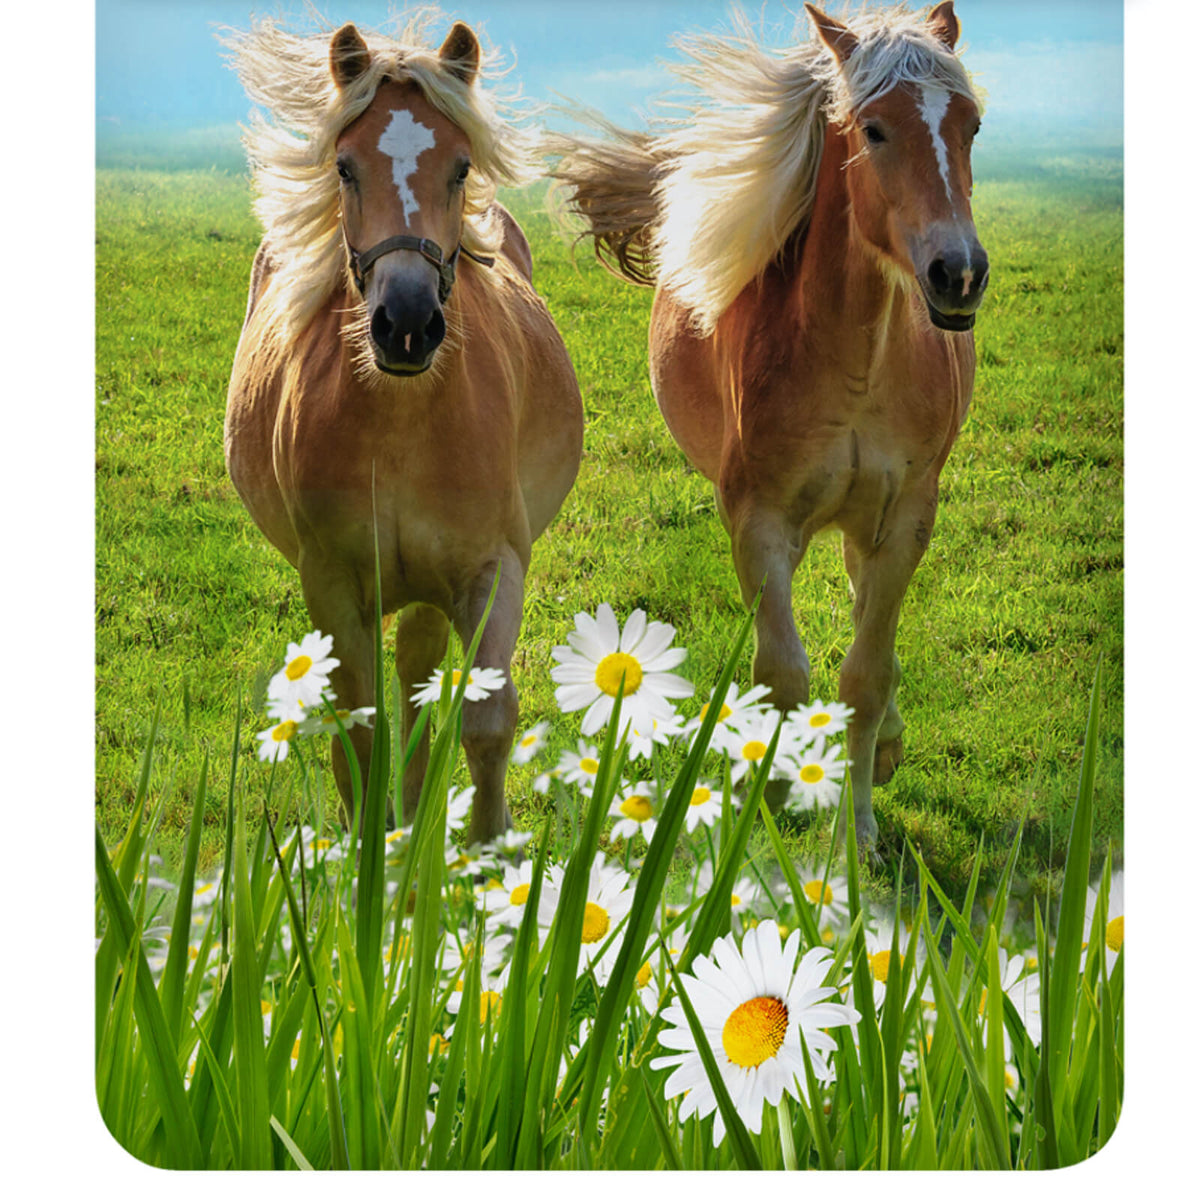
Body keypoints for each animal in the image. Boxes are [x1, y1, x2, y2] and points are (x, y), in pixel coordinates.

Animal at [223, 15, 583, 845]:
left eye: (460, 167)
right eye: (345, 167)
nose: (408, 322)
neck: (401, 423)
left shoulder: (492, 569)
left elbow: (487, 720)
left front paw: (487, 849)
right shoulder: (330, 582)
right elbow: (357, 731)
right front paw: (365, 857)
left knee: (421, 675)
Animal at [547, 2, 987, 855]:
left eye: (971, 125)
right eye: (874, 129)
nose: (958, 274)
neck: (854, 365)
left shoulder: (907, 518)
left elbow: (866, 674)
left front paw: (858, 833)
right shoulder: (759, 521)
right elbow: (783, 675)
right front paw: (773, 807)